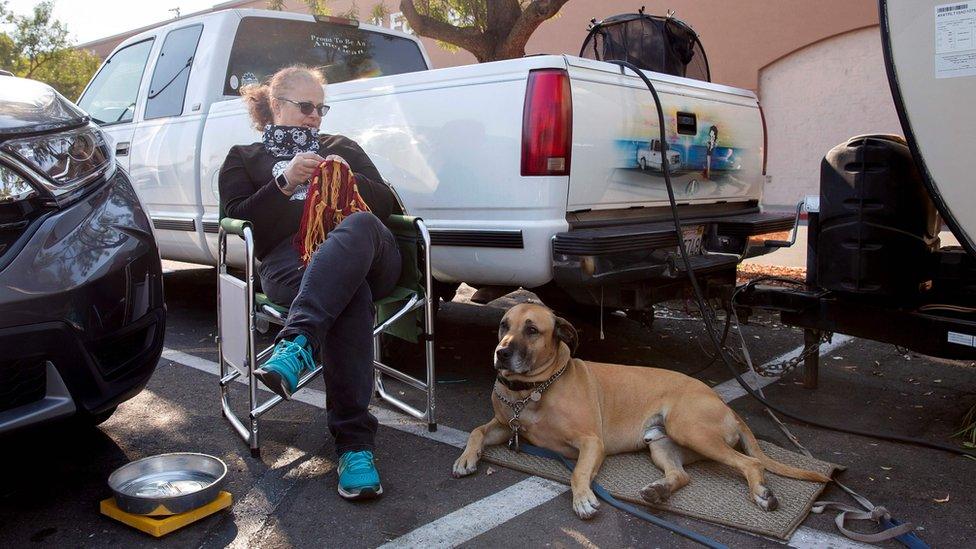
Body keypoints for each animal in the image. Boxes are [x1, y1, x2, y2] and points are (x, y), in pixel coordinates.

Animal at [452, 302, 832, 520]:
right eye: (504, 325)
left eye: (532, 330)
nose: (501, 353)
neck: (534, 390)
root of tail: (721, 402)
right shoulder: (505, 425)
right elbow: (477, 430)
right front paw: (466, 458)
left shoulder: (591, 443)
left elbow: (578, 473)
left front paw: (583, 498)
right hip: (662, 445)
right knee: (682, 475)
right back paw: (658, 491)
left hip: (690, 430)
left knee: (751, 463)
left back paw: (761, 493)